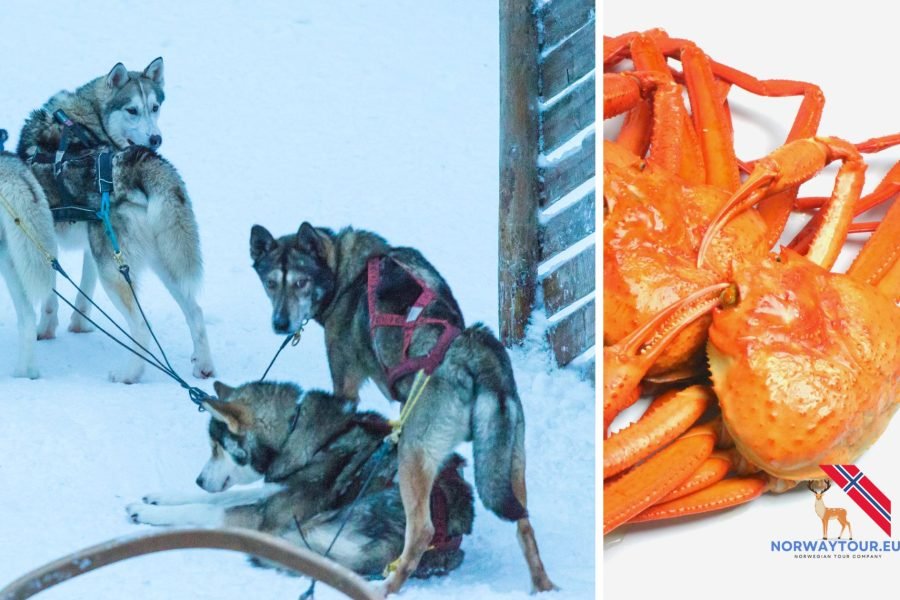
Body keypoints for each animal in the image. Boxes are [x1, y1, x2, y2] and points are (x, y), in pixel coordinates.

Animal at [17, 58, 167, 344]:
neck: (88, 122)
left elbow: (81, 286)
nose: (156, 138)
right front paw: (52, 329)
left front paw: (72, 325)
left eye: (155, 108)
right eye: (132, 110)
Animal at [130, 380, 478, 580]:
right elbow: (218, 497)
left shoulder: (266, 515)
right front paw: (160, 497)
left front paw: (150, 513)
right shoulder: (274, 490)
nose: (199, 480)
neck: (297, 434)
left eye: (217, 447)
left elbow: (207, 510)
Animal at [251, 225, 556, 596]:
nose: (280, 323)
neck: (345, 272)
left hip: (414, 454)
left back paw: (386, 586)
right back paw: (543, 585)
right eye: (271, 283)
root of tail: (475, 355)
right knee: (523, 522)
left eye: (301, 282)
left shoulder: (346, 384)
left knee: (422, 531)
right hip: (507, 458)